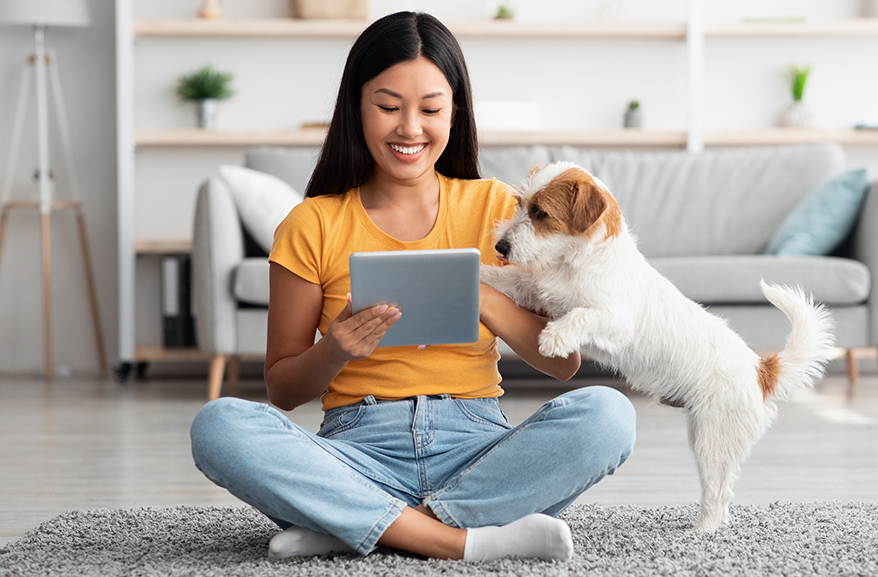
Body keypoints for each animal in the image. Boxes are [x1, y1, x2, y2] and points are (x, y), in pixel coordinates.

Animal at [482, 161, 840, 532]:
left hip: (712, 442)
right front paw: (478, 273)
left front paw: (554, 338)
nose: (500, 247)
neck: (574, 262)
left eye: (541, 213)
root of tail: (761, 370)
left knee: (718, 493)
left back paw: (702, 531)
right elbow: (505, 281)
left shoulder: (614, 319)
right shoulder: (535, 291)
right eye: (520, 204)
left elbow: (582, 315)